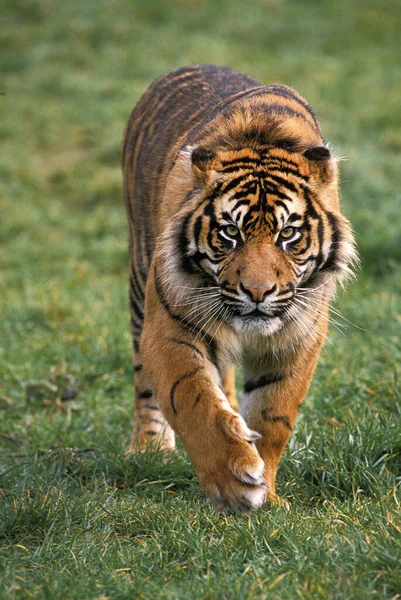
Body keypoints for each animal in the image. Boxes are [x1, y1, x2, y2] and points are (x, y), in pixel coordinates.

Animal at [120, 65, 354, 516]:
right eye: (230, 233)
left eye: (288, 234)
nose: (258, 292)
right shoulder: (169, 331)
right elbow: (192, 397)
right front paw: (234, 481)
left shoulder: (298, 338)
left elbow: (274, 415)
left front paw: (268, 491)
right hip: (141, 283)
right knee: (146, 387)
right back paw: (148, 450)